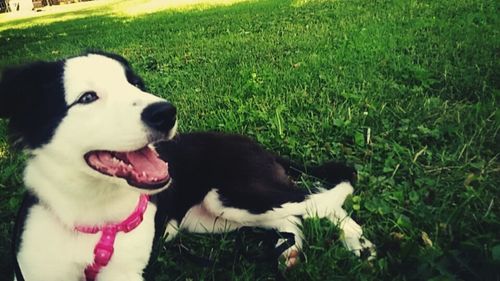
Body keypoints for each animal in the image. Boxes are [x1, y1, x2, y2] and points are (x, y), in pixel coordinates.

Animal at [0, 53, 376, 280]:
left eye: (135, 84)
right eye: (88, 97)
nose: (166, 112)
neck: (94, 215)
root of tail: (252, 144)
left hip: (236, 194)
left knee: (319, 203)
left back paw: (358, 244)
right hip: (210, 218)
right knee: (293, 218)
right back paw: (291, 252)